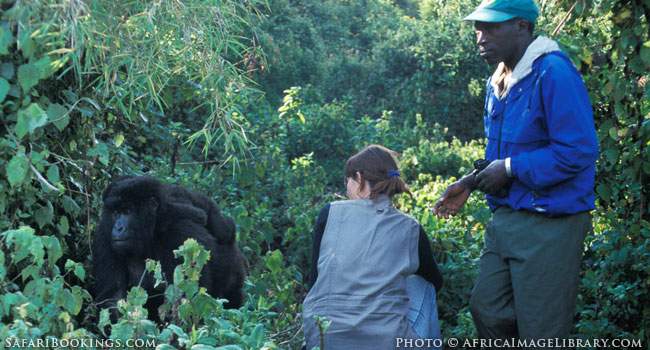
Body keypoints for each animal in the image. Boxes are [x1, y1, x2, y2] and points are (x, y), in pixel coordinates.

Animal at [94, 176, 248, 322]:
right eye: (115, 213)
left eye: (127, 211)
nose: (118, 228)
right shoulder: (104, 234)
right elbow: (113, 296)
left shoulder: (179, 233)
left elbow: (185, 300)